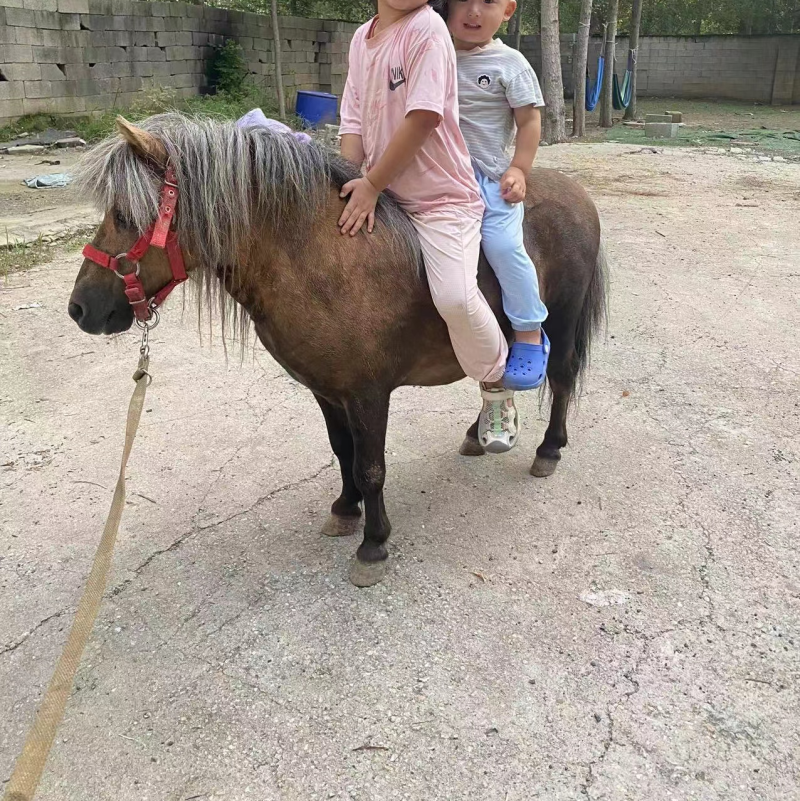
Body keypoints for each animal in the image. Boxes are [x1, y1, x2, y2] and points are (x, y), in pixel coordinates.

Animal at [68, 114, 607, 587]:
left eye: (124, 215)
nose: (80, 309)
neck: (318, 257)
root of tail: (578, 194)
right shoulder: (326, 390)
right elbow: (342, 451)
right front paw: (346, 510)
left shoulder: (368, 394)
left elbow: (371, 467)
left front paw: (374, 543)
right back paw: (481, 433)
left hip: (560, 321)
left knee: (560, 378)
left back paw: (549, 449)